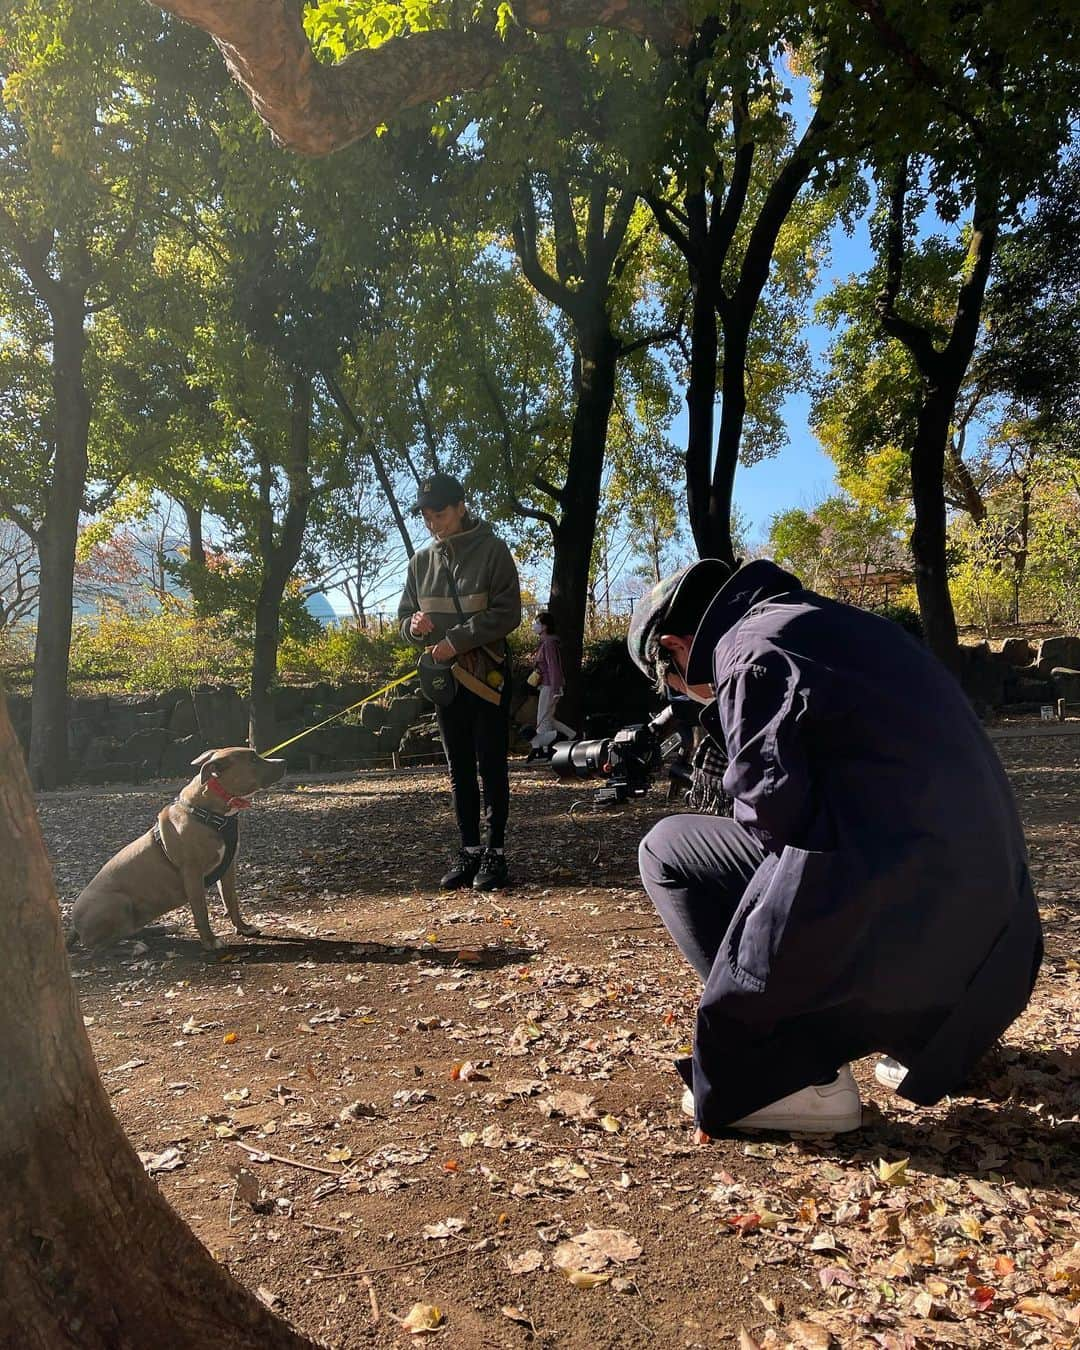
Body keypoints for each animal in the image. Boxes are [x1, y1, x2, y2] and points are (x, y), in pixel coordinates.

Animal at [69, 750, 284, 950]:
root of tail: (75, 926)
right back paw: (133, 947)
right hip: (118, 902)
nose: (283, 761)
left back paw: (162, 928)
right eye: (253, 759)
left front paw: (243, 927)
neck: (209, 814)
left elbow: (231, 900)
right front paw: (210, 941)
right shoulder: (192, 874)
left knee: (129, 931)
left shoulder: (228, 868)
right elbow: (201, 911)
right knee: (100, 946)